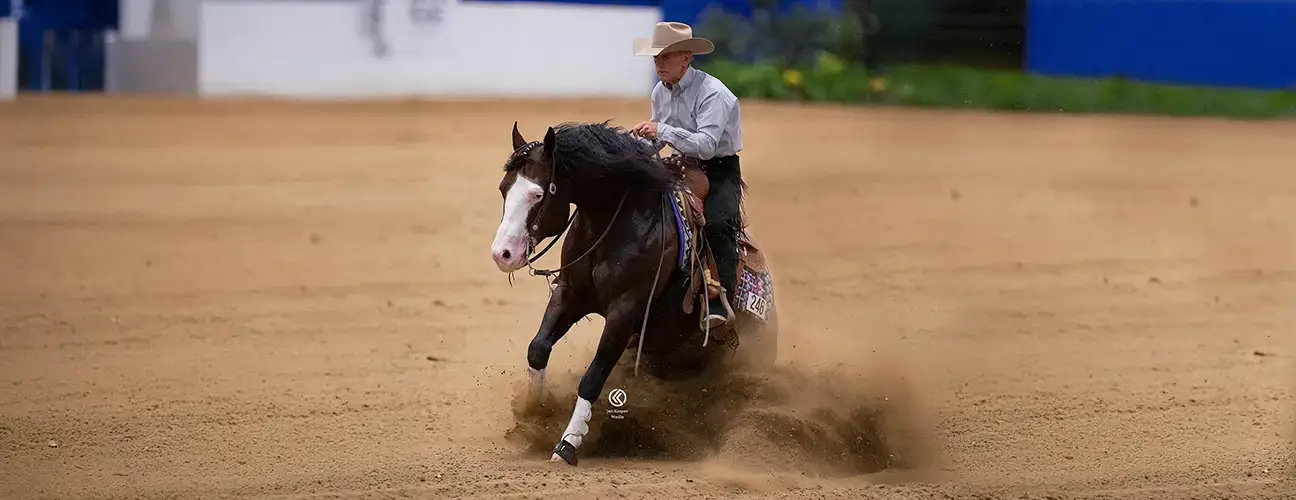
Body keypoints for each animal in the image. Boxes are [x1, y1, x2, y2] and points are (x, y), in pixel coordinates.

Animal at [489, 120, 779, 466]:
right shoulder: (570, 293)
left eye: (537, 193)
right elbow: (538, 348)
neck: (615, 224)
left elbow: (593, 377)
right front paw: (535, 416)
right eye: (504, 188)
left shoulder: (625, 310)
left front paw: (567, 444)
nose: (502, 254)